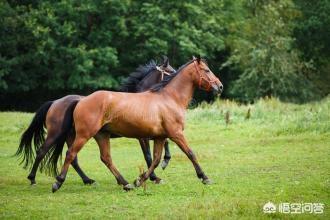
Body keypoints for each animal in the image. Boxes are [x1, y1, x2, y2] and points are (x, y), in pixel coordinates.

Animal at [16, 57, 175, 186]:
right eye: (171, 71)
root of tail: (54, 102)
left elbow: (165, 143)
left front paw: (164, 162)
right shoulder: (142, 137)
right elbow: (148, 156)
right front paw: (154, 177)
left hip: (71, 136)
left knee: (72, 158)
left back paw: (88, 180)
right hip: (56, 134)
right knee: (42, 151)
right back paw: (32, 179)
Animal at [52, 56, 222, 192]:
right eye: (207, 70)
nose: (220, 86)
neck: (169, 98)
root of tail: (81, 100)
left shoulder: (160, 137)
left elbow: (155, 160)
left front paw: (140, 180)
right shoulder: (175, 134)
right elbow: (190, 153)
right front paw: (204, 177)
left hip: (101, 135)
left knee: (106, 158)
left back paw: (125, 184)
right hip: (84, 134)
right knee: (71, 154)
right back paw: (58, 183)